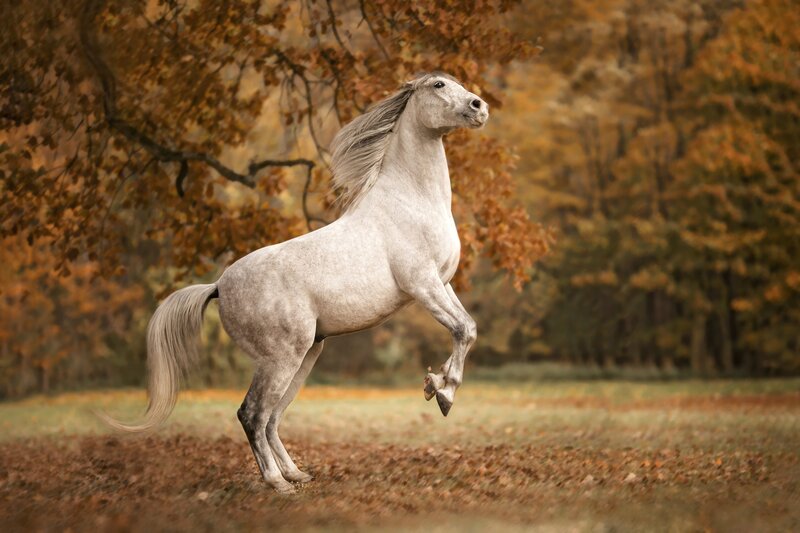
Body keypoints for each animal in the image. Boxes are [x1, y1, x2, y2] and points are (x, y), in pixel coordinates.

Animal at [105, 72, 489, 493]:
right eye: (438, 85)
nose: (479, 107)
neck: (410, 202)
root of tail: (218, 285)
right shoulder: (422, 285)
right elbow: (462, 329)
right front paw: (443, 392)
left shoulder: (443, 283)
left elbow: (467, 327)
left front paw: (438, 385)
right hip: (281, 357)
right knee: (252, 414)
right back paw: (278, 484)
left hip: (306, 354)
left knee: (272, 417)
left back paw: (296, 474)